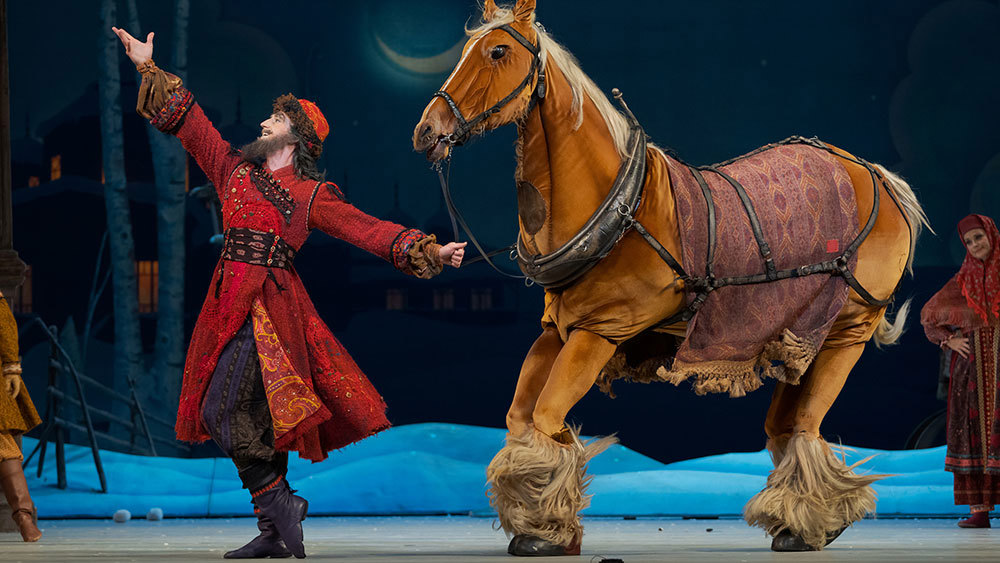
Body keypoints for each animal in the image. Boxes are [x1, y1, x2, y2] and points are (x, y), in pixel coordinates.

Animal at [414, 0, 928, 556]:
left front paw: (547, 529)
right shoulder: (559, 331)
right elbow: (521, 419)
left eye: (497, 51)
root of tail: (875, 173)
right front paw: (549, 520)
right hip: (799, 336)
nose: (427, 131)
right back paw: (802, 518)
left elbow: (548, 417)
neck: (619, 210)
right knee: (784, 427)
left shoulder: (599, 332)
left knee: (806, 425)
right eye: (465, 49)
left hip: (845, 333)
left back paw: (812, 522)